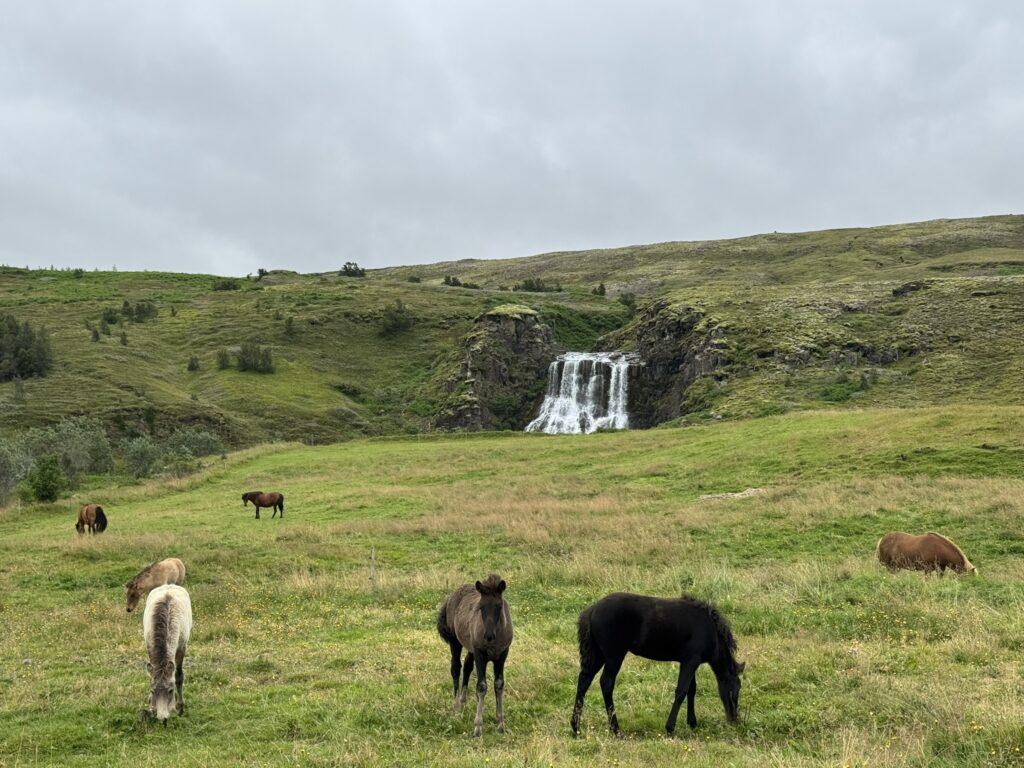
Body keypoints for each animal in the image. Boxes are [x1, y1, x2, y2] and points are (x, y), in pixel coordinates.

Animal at [143, 584, 192, 725]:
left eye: (170, 691)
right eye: (152, 690)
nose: (162, 718)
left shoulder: (181, 648)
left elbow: (178, 676)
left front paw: (180, 707)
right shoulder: (149, 646)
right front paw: (151, 706)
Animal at [437, 575, 513, 737]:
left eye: (499, 606)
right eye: (481, 607)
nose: (488, 636)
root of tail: (452, 595)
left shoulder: (502, 654)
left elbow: (499, 684)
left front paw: (501, 724)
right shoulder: (480, 654)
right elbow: (481, 686)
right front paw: (477, 727)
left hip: (470, 648)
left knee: (467, 666)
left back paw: (463, 701)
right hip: (455, 642)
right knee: (456, 668)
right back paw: (456, 707)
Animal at [571, 592, 745, 737]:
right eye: (734, 688)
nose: (734, 720)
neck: (711, 631)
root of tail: (591, 610)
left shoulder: (689, 662)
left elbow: (691, 690)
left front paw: (692, 723)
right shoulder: (691, 661)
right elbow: (681, 691)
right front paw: (670, 728)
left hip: (597, 655)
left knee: (584, 680)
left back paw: (575, 727)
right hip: (614, 656)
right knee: (606, 683)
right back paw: (616, 730)